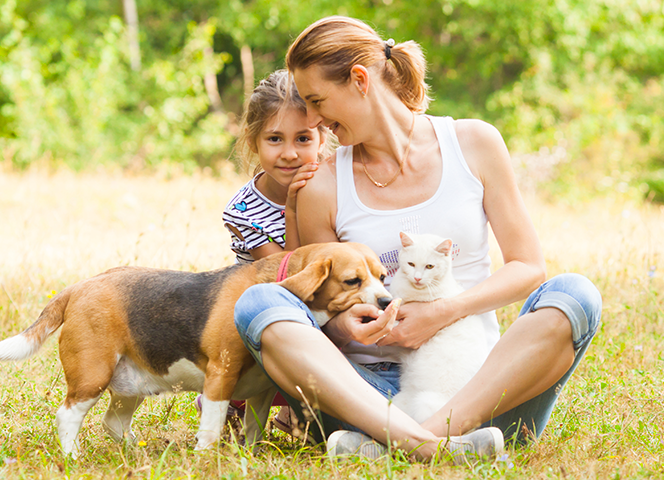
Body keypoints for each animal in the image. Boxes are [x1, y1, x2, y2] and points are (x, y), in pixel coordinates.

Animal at [0, 244, 392, 458]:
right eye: (352, 281)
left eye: (382, 277)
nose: (387, 302)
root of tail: (80, 287)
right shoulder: (221, 375)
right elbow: (212, 426)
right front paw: (205, 457)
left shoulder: (262, 391)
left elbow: (254, 427)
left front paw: (248, 456)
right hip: (91, 375)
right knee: (67, 416)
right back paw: (72, 456)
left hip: (129, 386)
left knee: (113, 422)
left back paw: (134, 451)